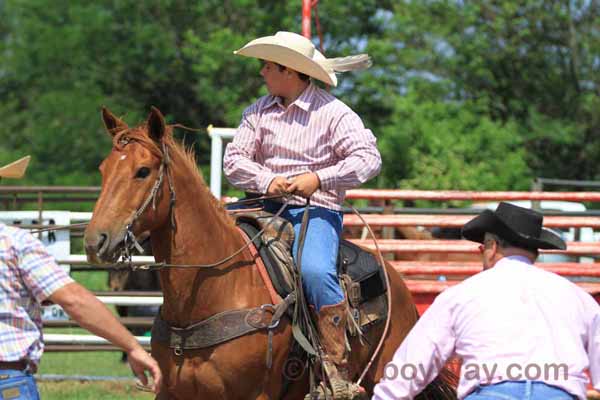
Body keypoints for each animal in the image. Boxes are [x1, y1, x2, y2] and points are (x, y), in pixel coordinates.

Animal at [82, 107, 452, 400]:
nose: (95, 240)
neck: (210, 294)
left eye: (142, 171)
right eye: (102, 169)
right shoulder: (172, 393)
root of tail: (398, 283)